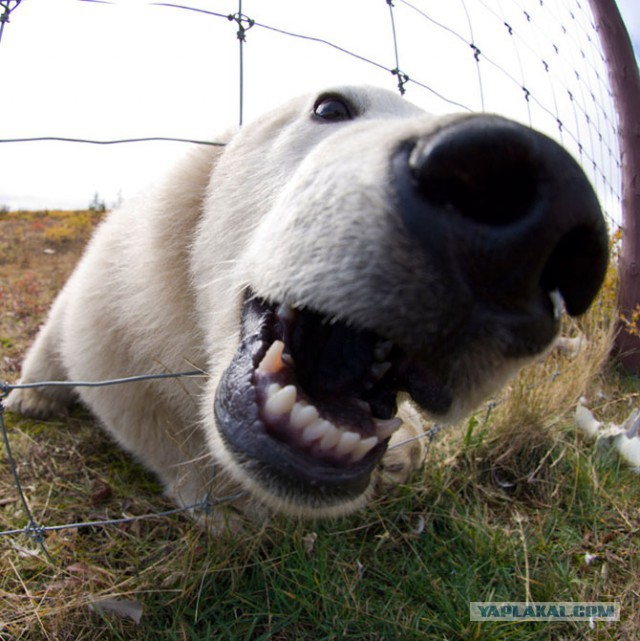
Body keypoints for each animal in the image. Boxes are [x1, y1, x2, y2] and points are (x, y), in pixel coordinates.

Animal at [3, 85, 604, 524]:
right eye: (330, 106)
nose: (527, 240)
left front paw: (404, 453)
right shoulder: (119, 295)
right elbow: (128, 386)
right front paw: (230, 505)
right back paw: (31, 396)